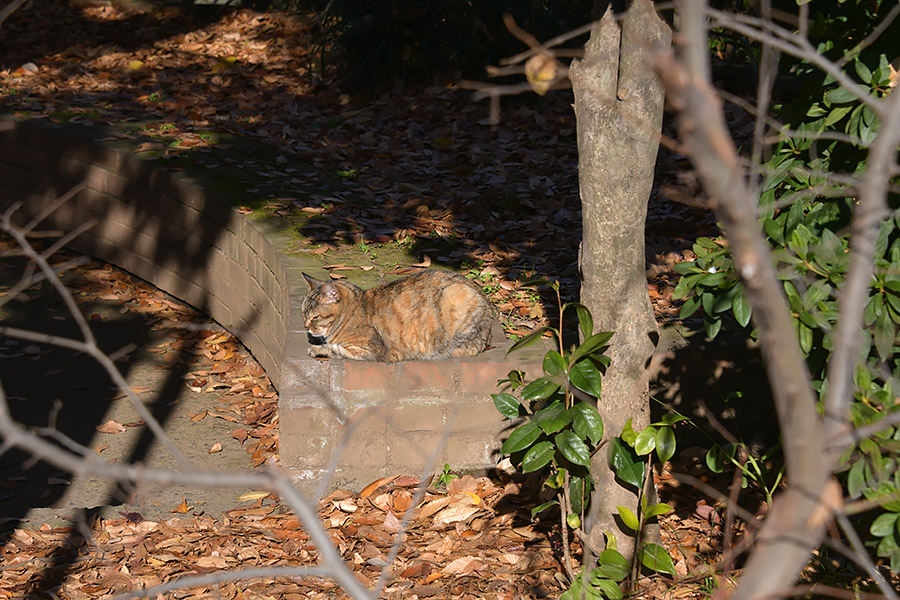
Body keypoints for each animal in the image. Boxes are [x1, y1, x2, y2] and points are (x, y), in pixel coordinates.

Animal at [304, 270, 500, 360]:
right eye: (303, 314)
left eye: (315, 317)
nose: (305, 327)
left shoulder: (370, 350)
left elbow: (335, 348)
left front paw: (316, 349)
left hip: (456, 295)